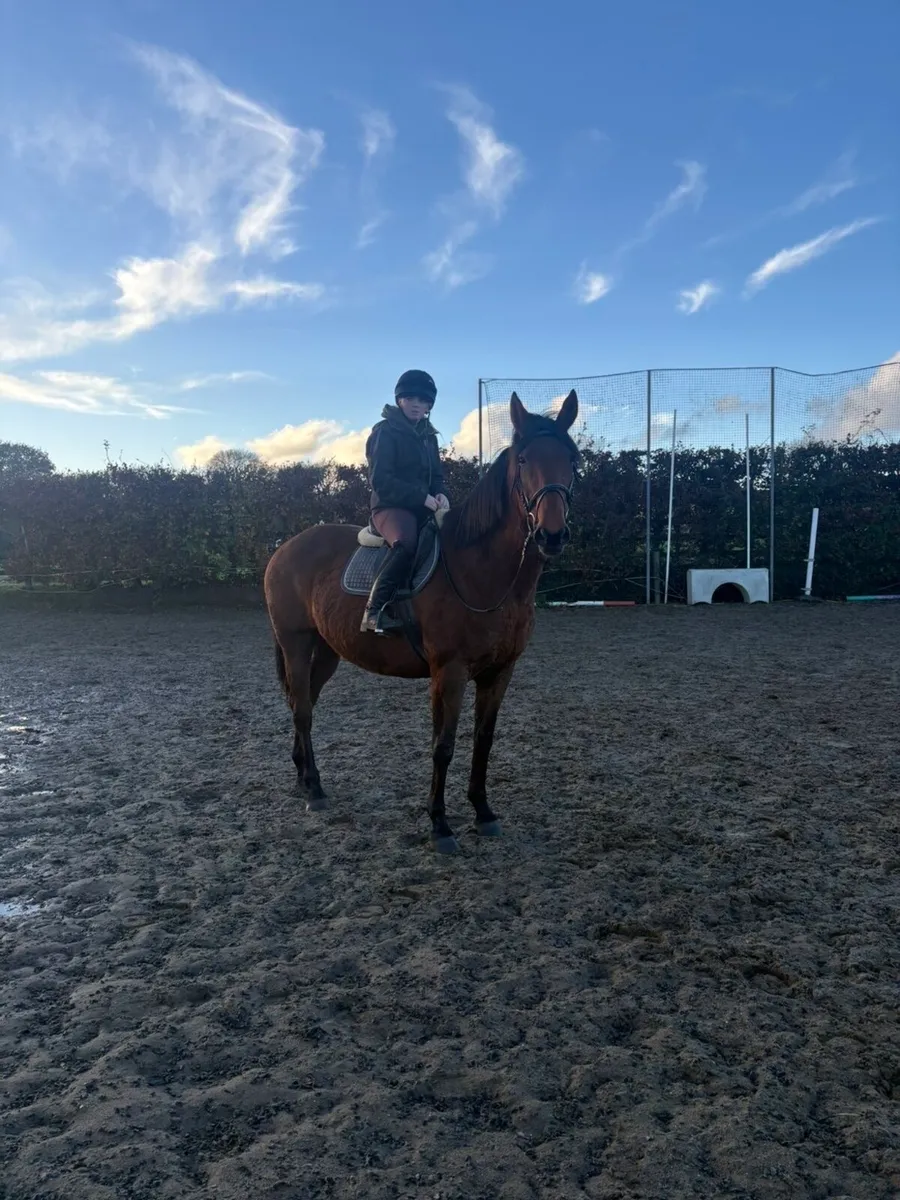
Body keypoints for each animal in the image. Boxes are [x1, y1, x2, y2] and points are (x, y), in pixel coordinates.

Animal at [263, 389, 580, 854]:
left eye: (572, 460)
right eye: (523, 460)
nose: (551, 535)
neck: (480, 572)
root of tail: (284, 549)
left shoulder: (500, 671)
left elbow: (483, 740)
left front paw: (483, 812)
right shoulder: (448, 671)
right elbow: (442, 746)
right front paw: (440, 825)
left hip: (326, 651)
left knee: (302, 704)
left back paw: (305, 779)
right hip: (296, 644)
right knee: (302, 710)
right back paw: (316, 791)